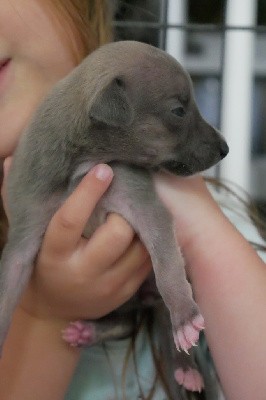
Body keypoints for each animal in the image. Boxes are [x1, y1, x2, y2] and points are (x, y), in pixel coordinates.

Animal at [0, 41, 229, 360]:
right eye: (179, 111)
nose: (225, 149)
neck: (82, 164)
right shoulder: (25, 228)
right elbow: (8, 286)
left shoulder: (140, 201)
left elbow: (167, 264)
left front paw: (184, 316)